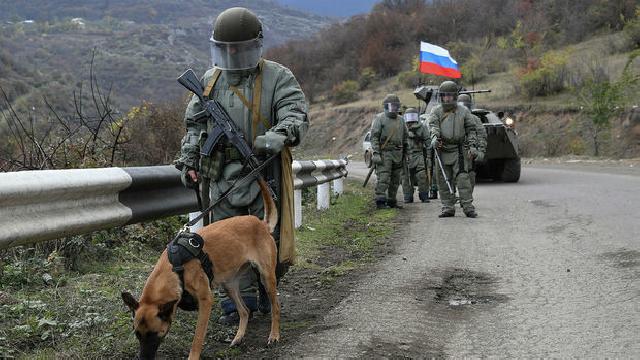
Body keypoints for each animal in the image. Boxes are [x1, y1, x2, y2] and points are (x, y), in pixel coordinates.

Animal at [121, 179, 278, 358]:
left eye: (154, 334)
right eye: (137, 335)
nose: (143, 358)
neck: (175, 269)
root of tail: (261, 224)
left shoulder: (205, 301)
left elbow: (197, 337)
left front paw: (193, 356)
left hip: (267, 277)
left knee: (275, 307)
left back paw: (274, 335)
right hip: (229, 285)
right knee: (244, 310)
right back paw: (238, 337)